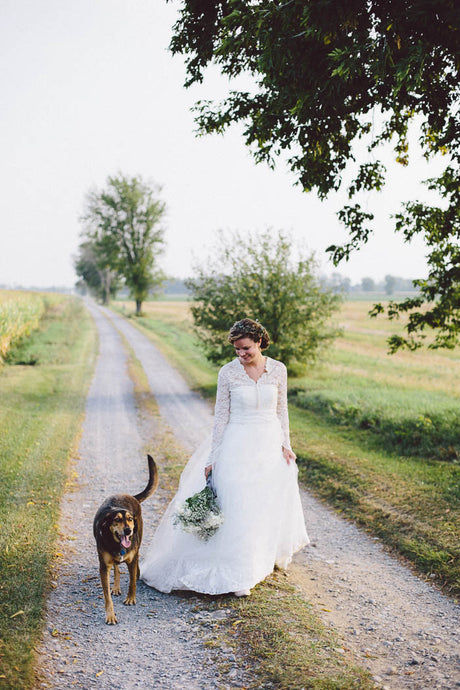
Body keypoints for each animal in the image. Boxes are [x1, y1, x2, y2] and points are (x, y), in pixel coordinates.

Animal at [92, 452, 159, 624]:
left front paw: (131, 598)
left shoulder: (132, 560)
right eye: (116, 520)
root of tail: (130, 496)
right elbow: (107, 597)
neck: (117, 545)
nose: (128, 531)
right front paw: (110, 615)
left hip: (138, 542)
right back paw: (116, 586)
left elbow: (132, 582)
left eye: (129, 519)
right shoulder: (103, 567)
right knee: (116, 568)